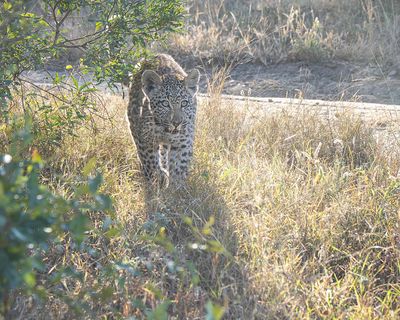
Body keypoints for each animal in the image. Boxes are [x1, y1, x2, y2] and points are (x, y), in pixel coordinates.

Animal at [126, 53, 200, 186]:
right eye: (165, 104)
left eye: (184, 103)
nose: (176, 123)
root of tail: (159, 54)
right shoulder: (146, 141)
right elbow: (150, 163)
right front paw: (156, 180)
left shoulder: (183, 143)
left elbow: (178, 168)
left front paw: (175, 188)